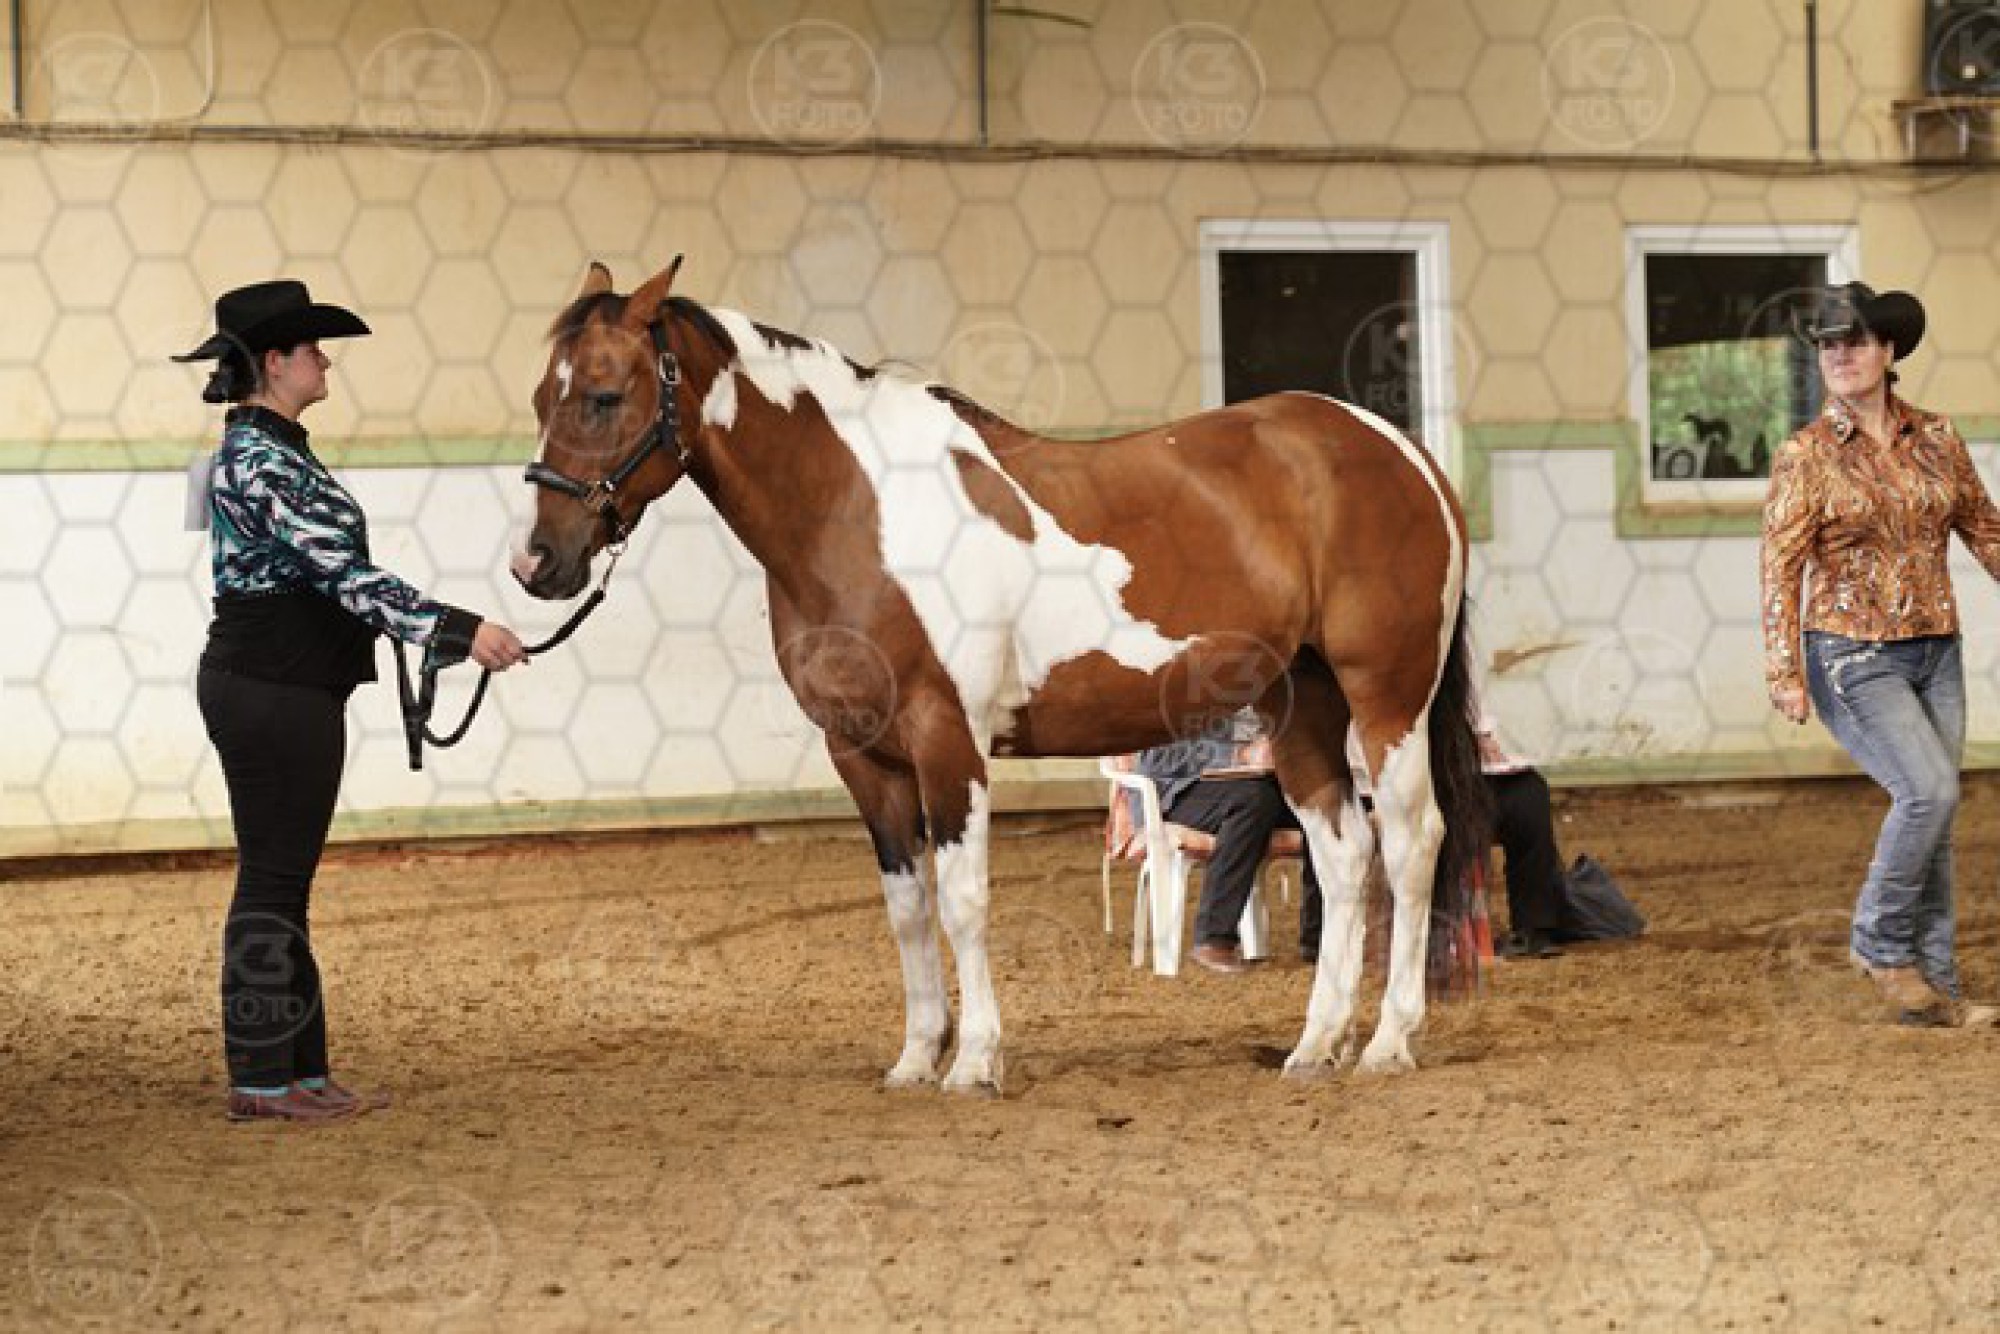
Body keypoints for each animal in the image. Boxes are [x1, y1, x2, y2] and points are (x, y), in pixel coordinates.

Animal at [510, 259, 1488, 1095]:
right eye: (541, 397)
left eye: (604, 395)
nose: (537, 563)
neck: (861, 511)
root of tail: (1400, 449)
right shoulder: (863, 756)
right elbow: (908, 909)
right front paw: (916, 1057)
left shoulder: (949, 738)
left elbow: (964, 901)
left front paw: (976, 1060)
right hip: (1301, 703)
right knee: (1343, 851)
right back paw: (1317, 1045)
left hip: (1386, 698)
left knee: (1412, 844)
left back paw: (1390, 1041)